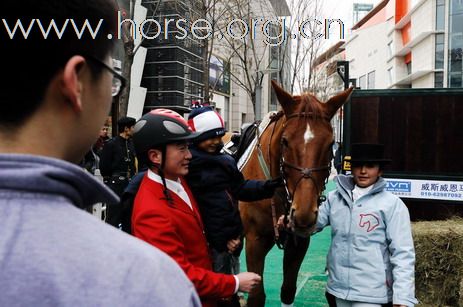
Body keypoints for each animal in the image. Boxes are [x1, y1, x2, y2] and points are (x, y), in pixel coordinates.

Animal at [239, 80, 352, 306]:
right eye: (285, 141)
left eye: (330, 144)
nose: (304, 215)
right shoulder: (254, 241)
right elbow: (257, 296)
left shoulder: (299, 243)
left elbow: (288, 290)